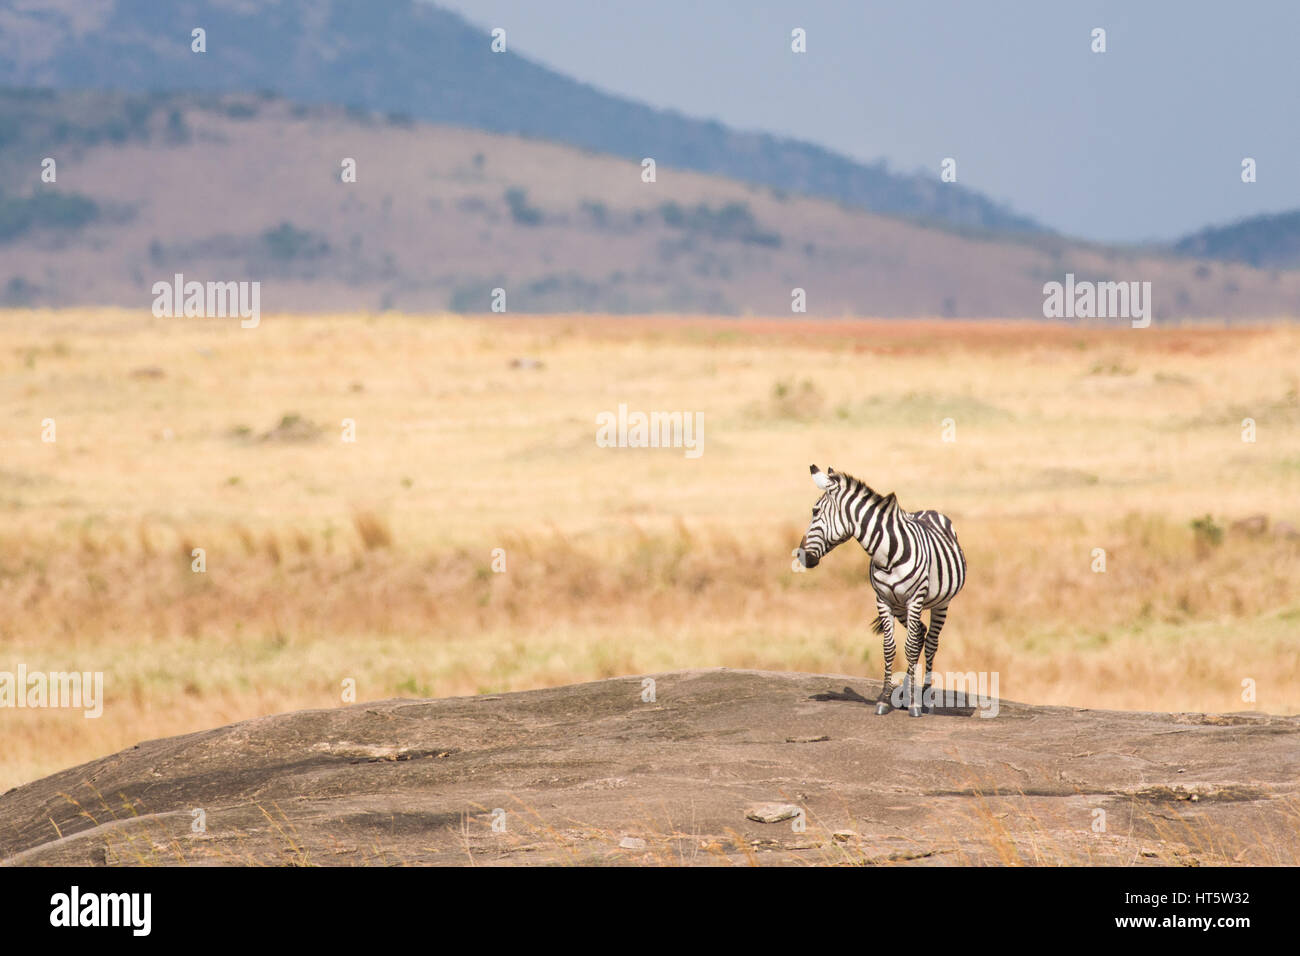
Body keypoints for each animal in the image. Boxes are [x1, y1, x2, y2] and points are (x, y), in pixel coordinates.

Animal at [793, 464, 966, 717]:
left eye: (815, 511)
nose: (801, 556)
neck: (888, 555)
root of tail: (930, 511)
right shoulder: (883, 600)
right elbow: (890, 647)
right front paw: (885, 699)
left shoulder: (915, 599)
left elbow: (909, 647)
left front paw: (915, 704)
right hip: (900, 607)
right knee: (919, 634)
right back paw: (905, 694)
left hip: (940, 603)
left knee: (931, 642)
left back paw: (925, 698)